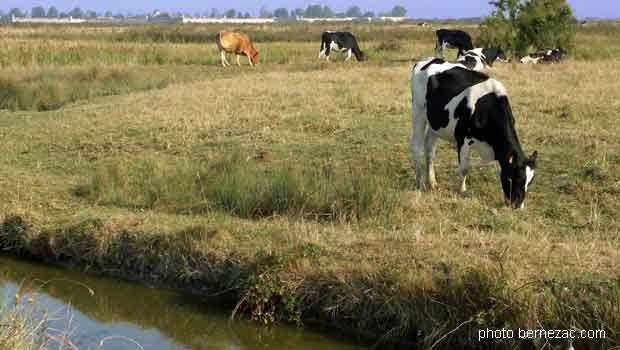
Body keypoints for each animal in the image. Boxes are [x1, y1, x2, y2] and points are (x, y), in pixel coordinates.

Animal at [412, 57, 536, 208]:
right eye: (514, 177)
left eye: (530, 182)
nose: (518, 205)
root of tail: (428, 60)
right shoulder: (462, 138)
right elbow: (464, 167)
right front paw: (462, 191)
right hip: (417, 112)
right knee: (417, 147)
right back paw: (419, 183)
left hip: (435, 123)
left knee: (430, 150)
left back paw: (433, 183)